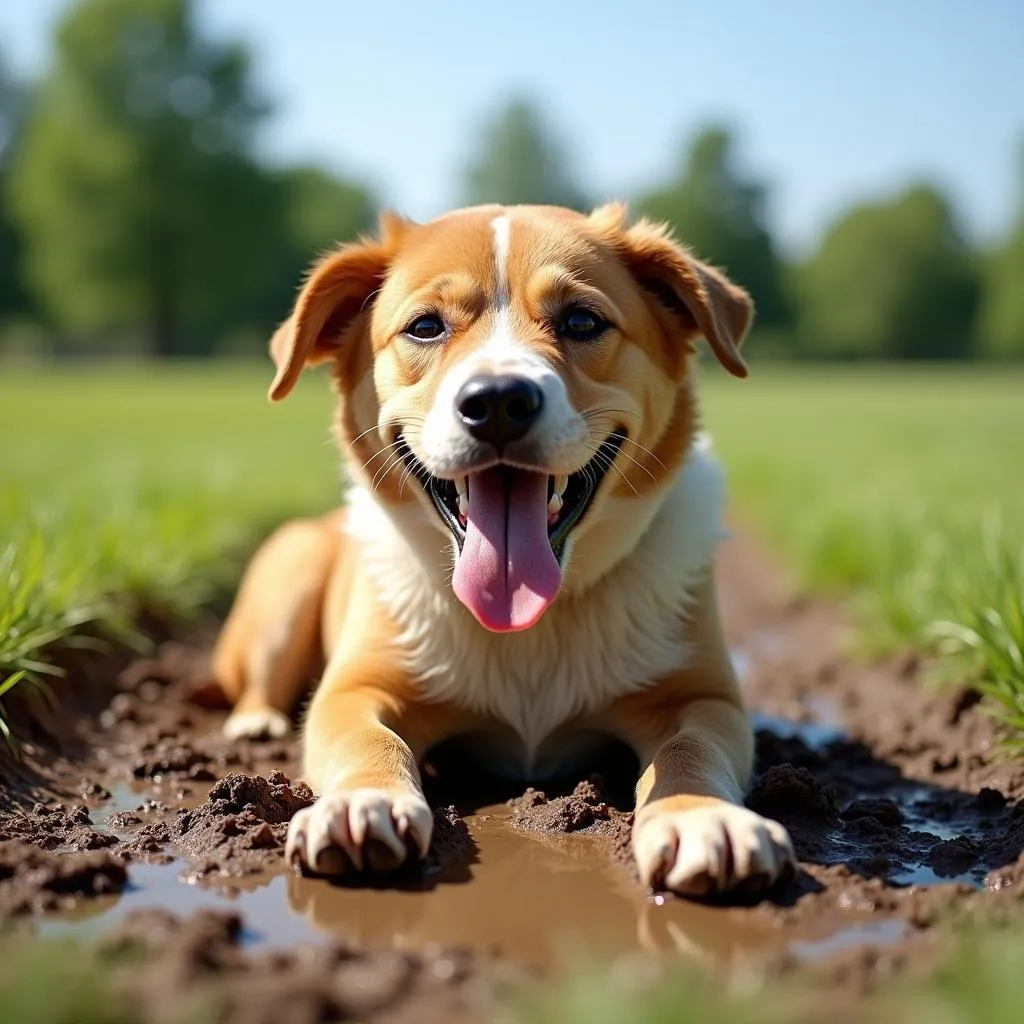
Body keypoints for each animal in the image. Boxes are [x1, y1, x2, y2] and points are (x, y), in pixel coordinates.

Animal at [211, 201, 794, 897]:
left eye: (581, 320)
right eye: (425, 326)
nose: (496, 401)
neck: (528, 625)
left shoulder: (702, 696)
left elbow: (692, 749)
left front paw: (701, 816)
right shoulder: (355, 688)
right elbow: (368, 741)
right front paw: (362, 802)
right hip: (290, 576)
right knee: (258, 680)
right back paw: (256, 721)